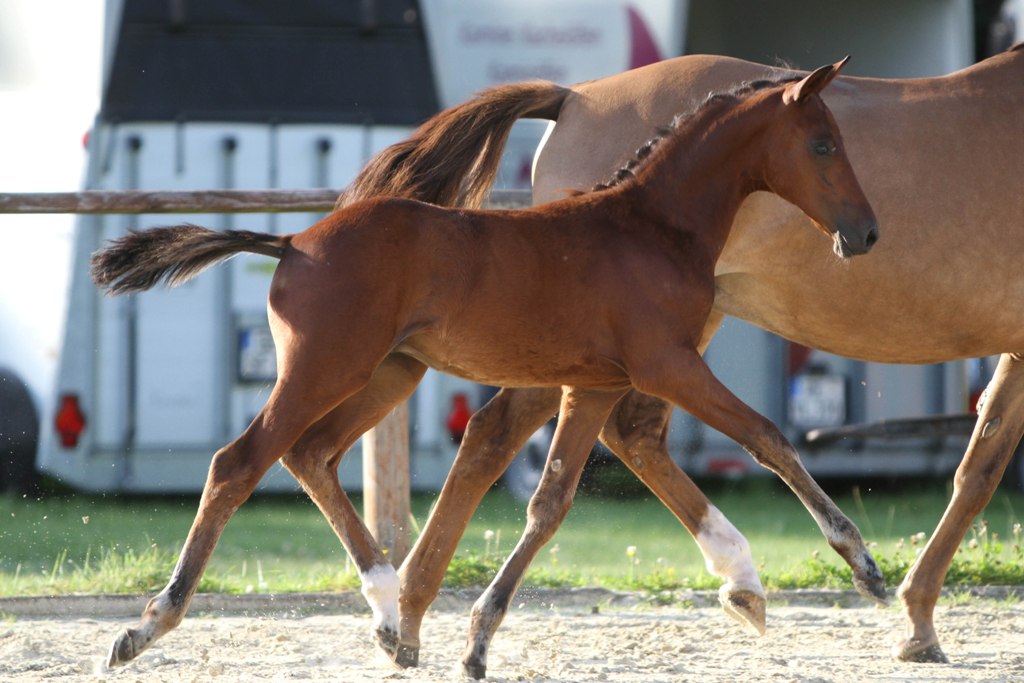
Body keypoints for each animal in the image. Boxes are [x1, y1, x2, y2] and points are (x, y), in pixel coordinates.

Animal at [94, 60, 880, 679]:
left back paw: (389, 609)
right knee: (239, 461)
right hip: (326, 368)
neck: (652, 228)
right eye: (822, 142)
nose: (866, 231)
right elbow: (766, 435)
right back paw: (147, 624)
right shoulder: (666, 364)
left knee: (310, 453)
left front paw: (476, 641)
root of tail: (291, 243)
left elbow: (551, 501)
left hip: (391, 373)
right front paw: (862, 563)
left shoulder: (596, 383)